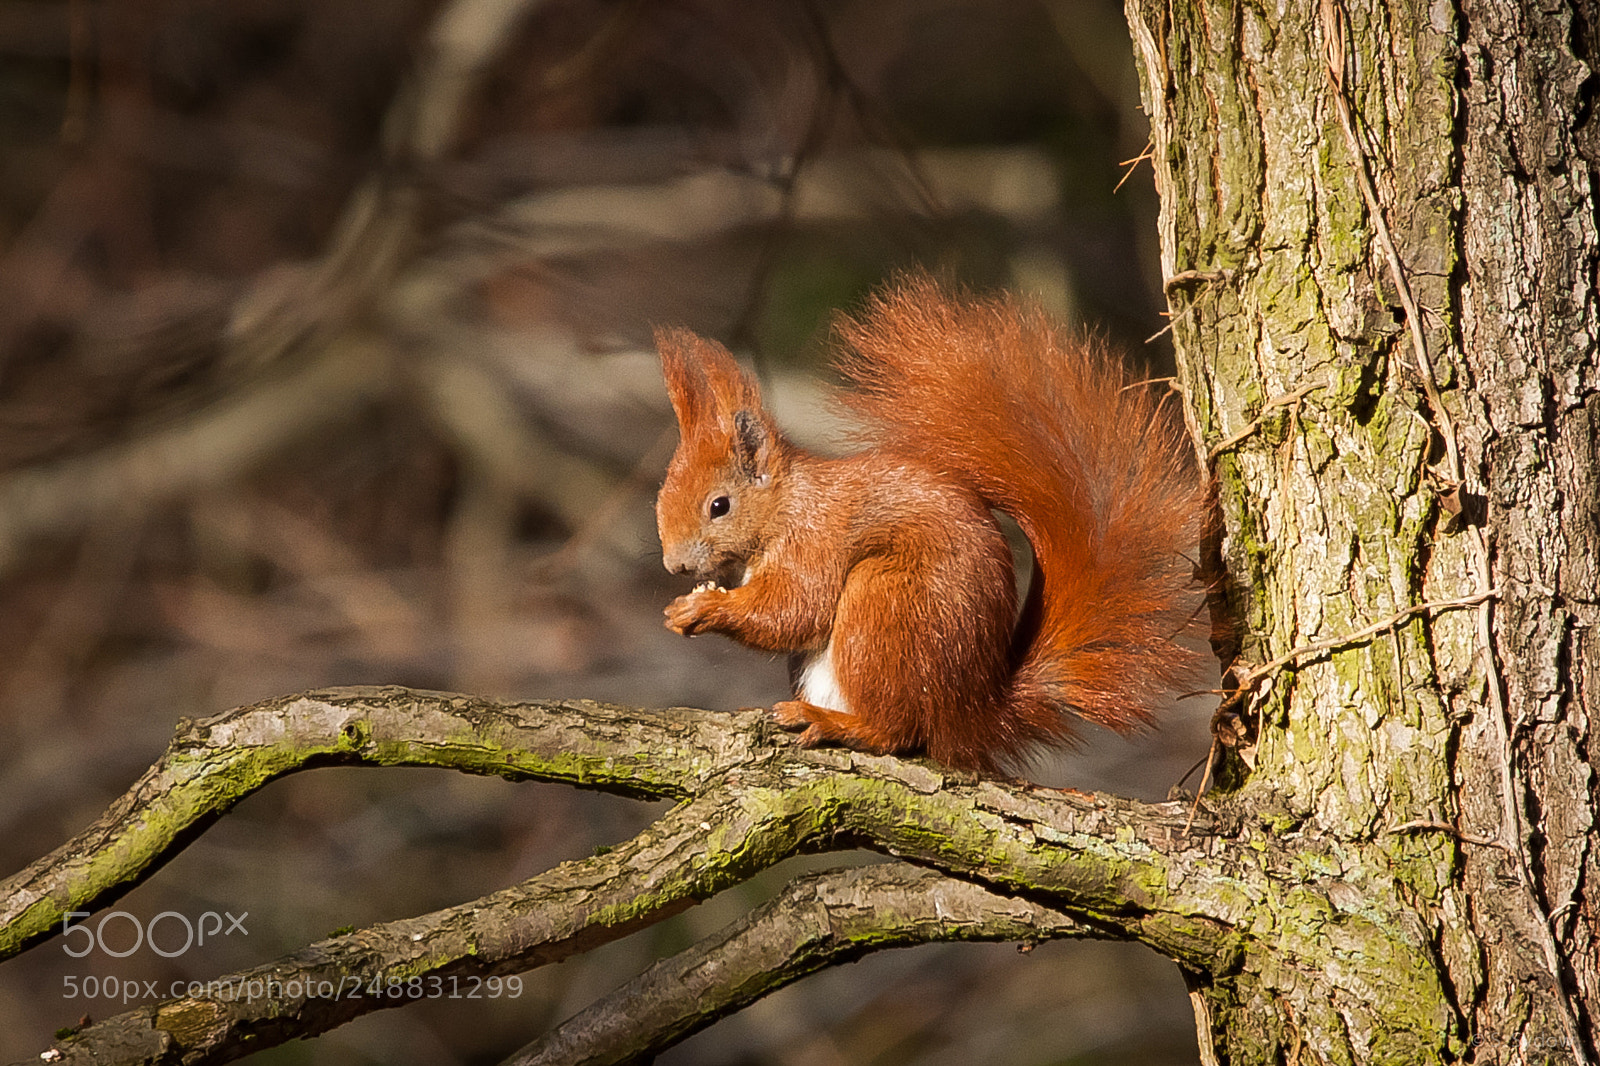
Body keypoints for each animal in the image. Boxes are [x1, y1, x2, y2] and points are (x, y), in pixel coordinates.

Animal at [654, 274, 1203, 775]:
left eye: (719, 505)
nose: (674, 565)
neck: (786, 504)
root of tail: (971, 713)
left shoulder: (813, 539)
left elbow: (795, 610)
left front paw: (703, 608)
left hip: (885, 605)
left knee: (898, 731)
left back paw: (841, 724)